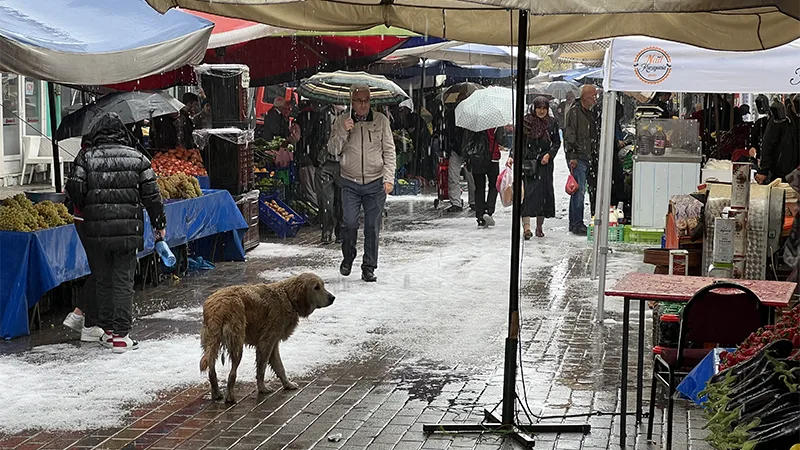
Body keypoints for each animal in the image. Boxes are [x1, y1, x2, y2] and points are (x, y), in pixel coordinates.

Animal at [203, 272, 338, 402]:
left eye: (323, 285)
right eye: (316, 287)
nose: (333, 298)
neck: (288, 297)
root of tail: (219, 307)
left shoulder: (273, 343)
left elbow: (280, 367)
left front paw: (287, 384)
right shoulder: (266, 342)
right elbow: (261, 368)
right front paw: (262, 388)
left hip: (212, 342)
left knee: (211, 369)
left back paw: (216, 393)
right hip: (236, 344)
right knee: (232, 373)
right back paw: (230, 397)